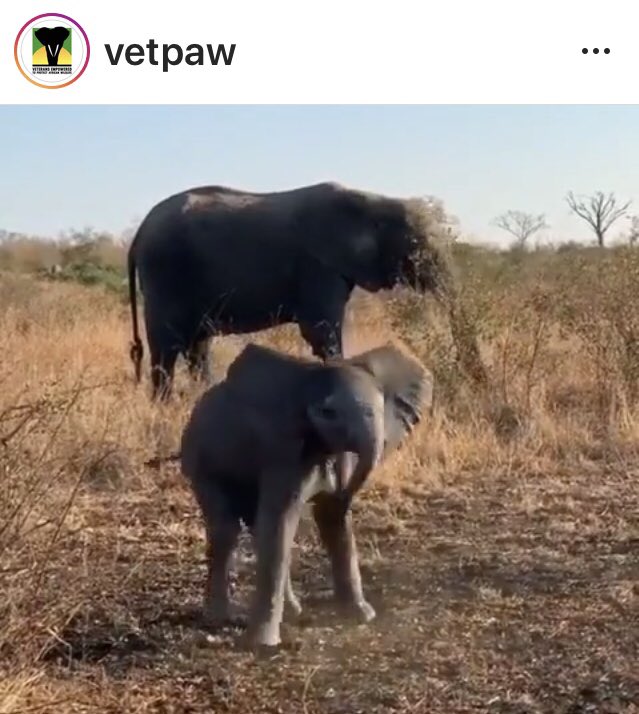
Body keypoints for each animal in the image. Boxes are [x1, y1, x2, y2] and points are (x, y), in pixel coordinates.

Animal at [129, 181, 484, 398]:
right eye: (418, 248)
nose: (477, 381)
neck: (374, 200)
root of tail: (139, 232)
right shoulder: (317, 264)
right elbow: (321, 331)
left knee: (198, 345)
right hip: (166, 272)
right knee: (168, 345)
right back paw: (164, 407)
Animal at [175, 342, 436, 648]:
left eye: (381, 408)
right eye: (329, 413)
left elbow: (327, 518)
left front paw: (361, 615)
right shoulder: (284, 450)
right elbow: (281, 519)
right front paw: (263, 645)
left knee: (256, 528)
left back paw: (293, 611)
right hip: (201, 460)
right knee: (227, 529)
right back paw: (219, 618)